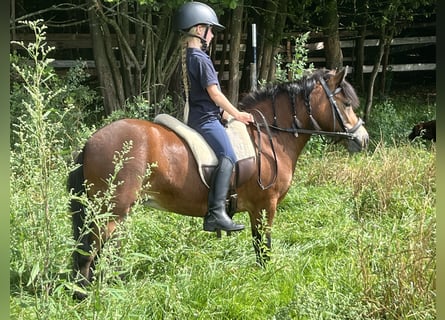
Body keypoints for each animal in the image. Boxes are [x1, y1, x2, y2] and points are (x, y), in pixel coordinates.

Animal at [67, 68, 370, 300]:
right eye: (346, 104)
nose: (363, 139)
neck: (270, 138)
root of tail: (91, 141)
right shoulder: (265, 205)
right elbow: (263, 247)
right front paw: (266, 280)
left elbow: (258, 245)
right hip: (110, 214)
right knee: (89, 253)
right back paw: (84, 297)